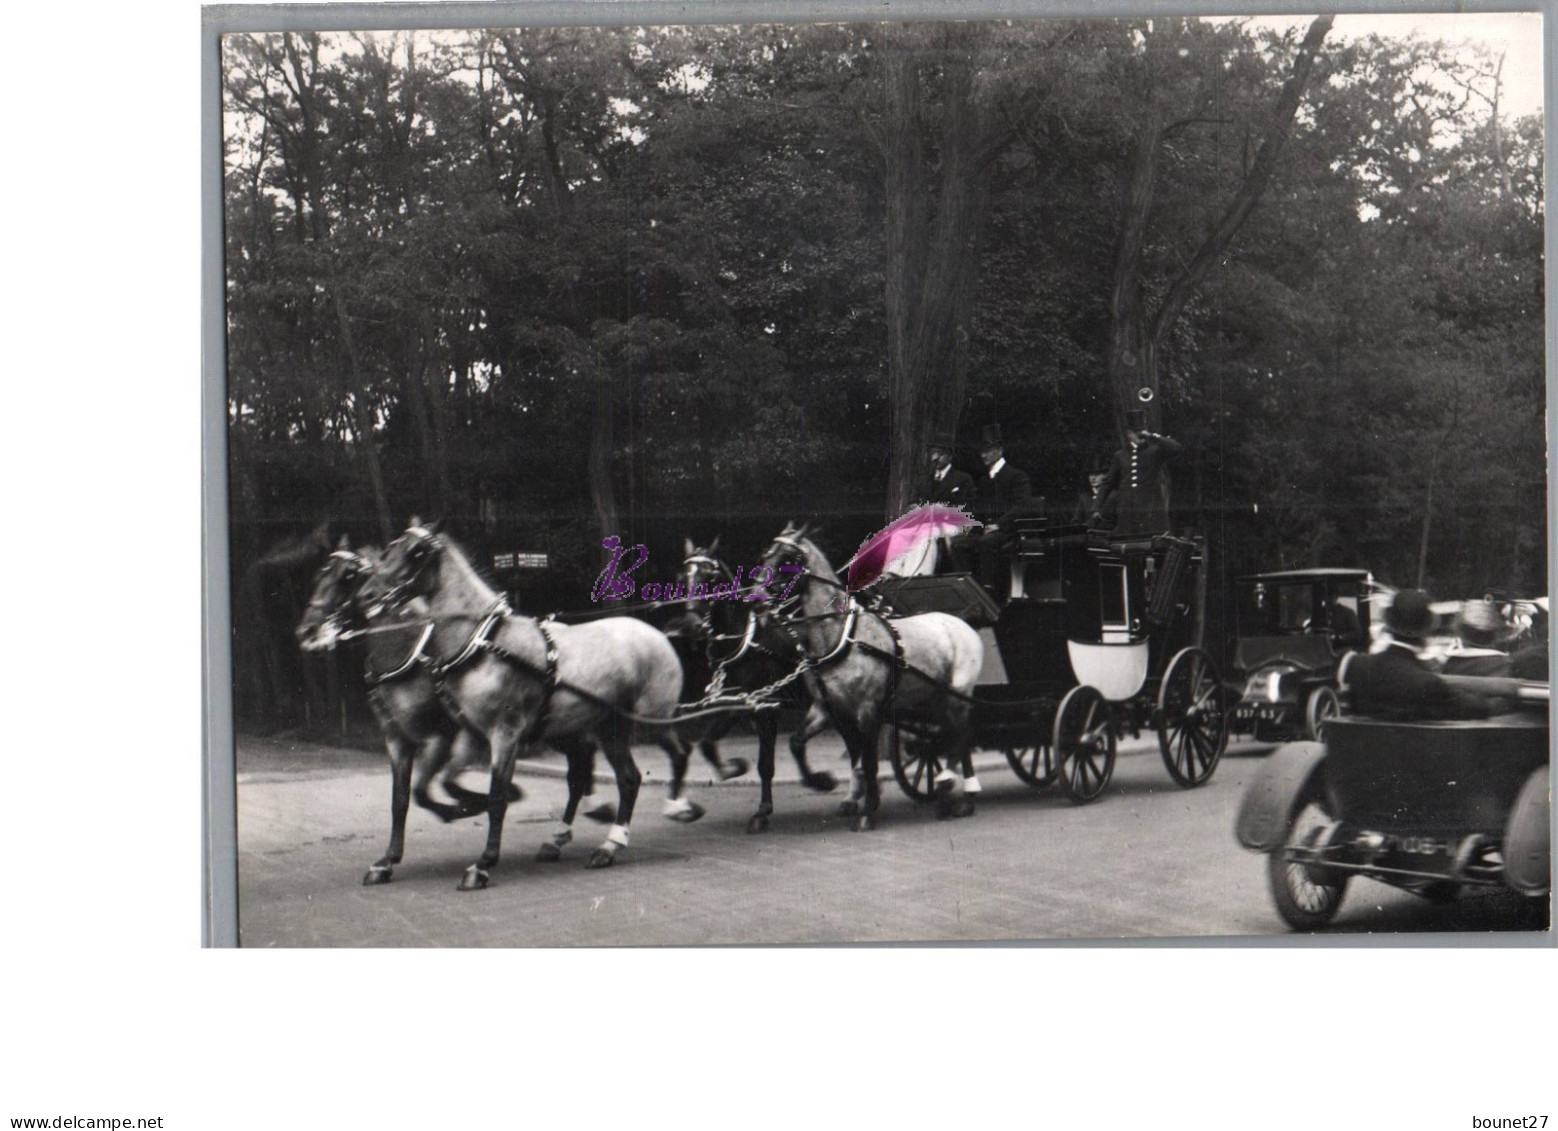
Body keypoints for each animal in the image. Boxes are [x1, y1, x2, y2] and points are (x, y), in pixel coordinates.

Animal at [370, 523, 701, 897]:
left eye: (417, 552)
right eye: (390, 548)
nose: (378, 594)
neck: (484, 644)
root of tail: (657, 634)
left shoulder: (505, 733)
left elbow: (497, 796)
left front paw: (482, 864)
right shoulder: (471, 734)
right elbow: (414, 794)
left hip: (654, 717)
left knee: (677, 753)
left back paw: (675, 808)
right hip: (607, 728)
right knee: (626, 778)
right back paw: (606, 845)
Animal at [757, 523, 984, 835]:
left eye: (788, 557)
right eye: (768, 552)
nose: (755, 598)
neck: (843, 638)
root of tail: (964, 625)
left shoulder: (868, 711)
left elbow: (869, 761)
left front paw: (867, 809)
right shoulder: (829, 709)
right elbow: (800, 744)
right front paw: (824, 782)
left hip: (956, 695)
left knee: (961, 734)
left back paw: (951, 784)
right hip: (934, 698)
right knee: (952, 737)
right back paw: (958, 793)